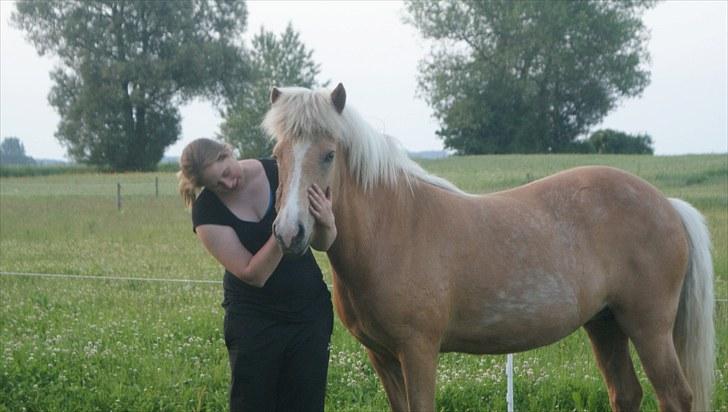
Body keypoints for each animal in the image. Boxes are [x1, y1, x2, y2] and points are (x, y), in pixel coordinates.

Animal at [264, 83, 716, 412]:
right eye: (277, 155)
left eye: (328, 154)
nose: (289, 232)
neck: (393, 228)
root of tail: (667, 204)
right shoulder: (382, 356)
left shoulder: (418, 351)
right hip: (605, 325)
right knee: (627, 393)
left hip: (648, 328)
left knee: (675, 396)